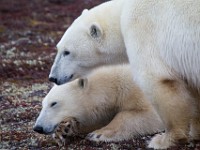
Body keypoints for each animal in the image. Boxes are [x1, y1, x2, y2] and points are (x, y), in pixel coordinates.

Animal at [33, 64, 163, 146]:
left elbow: (150, 114)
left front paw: (98, 134)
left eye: (54, 103)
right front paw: (63, 129)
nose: (38, 128)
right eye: (43, 104)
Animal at [48, 0, 200, 148]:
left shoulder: (143, 30)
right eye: (58, 48)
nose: (53, 77)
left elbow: (156, 80)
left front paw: (164, 140)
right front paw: (196, 133)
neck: (121, 14)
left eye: (67, 52)